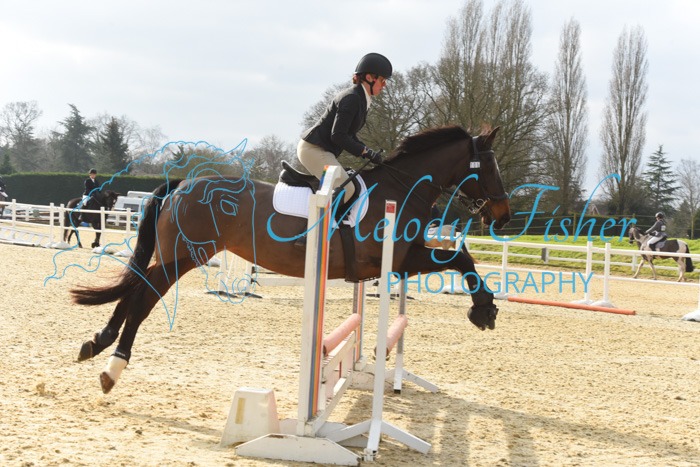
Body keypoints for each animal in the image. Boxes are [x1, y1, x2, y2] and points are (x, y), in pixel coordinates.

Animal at [70, 125, 512, 393]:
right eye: (490, 166)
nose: (504, 216)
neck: (402, 188)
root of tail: (182, 185)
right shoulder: (395, 262)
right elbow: (461, 261)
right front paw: (484, 311)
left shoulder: (405, 259)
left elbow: (462, 256)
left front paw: (485, 309)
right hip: (183, 257)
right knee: (143, 297)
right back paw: (113, 367)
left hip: (175, 256)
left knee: (135, 288)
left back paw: (97, 343)